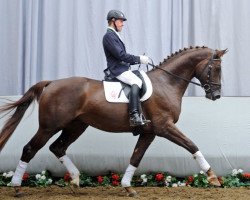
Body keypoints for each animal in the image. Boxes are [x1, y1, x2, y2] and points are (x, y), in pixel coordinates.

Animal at [0, 46, 227, 197]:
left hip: (76, 126)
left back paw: (75, 180)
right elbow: (191, 145)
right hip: (49, 127)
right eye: (215, 69)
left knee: (57, 147)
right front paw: (213, 177)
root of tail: (51, 83)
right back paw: (17, 186)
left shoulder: (149, 131)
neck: (167, 83)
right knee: (30, 149)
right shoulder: (164, 127)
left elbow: (136, 157)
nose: (216, 95)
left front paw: (127, 186)